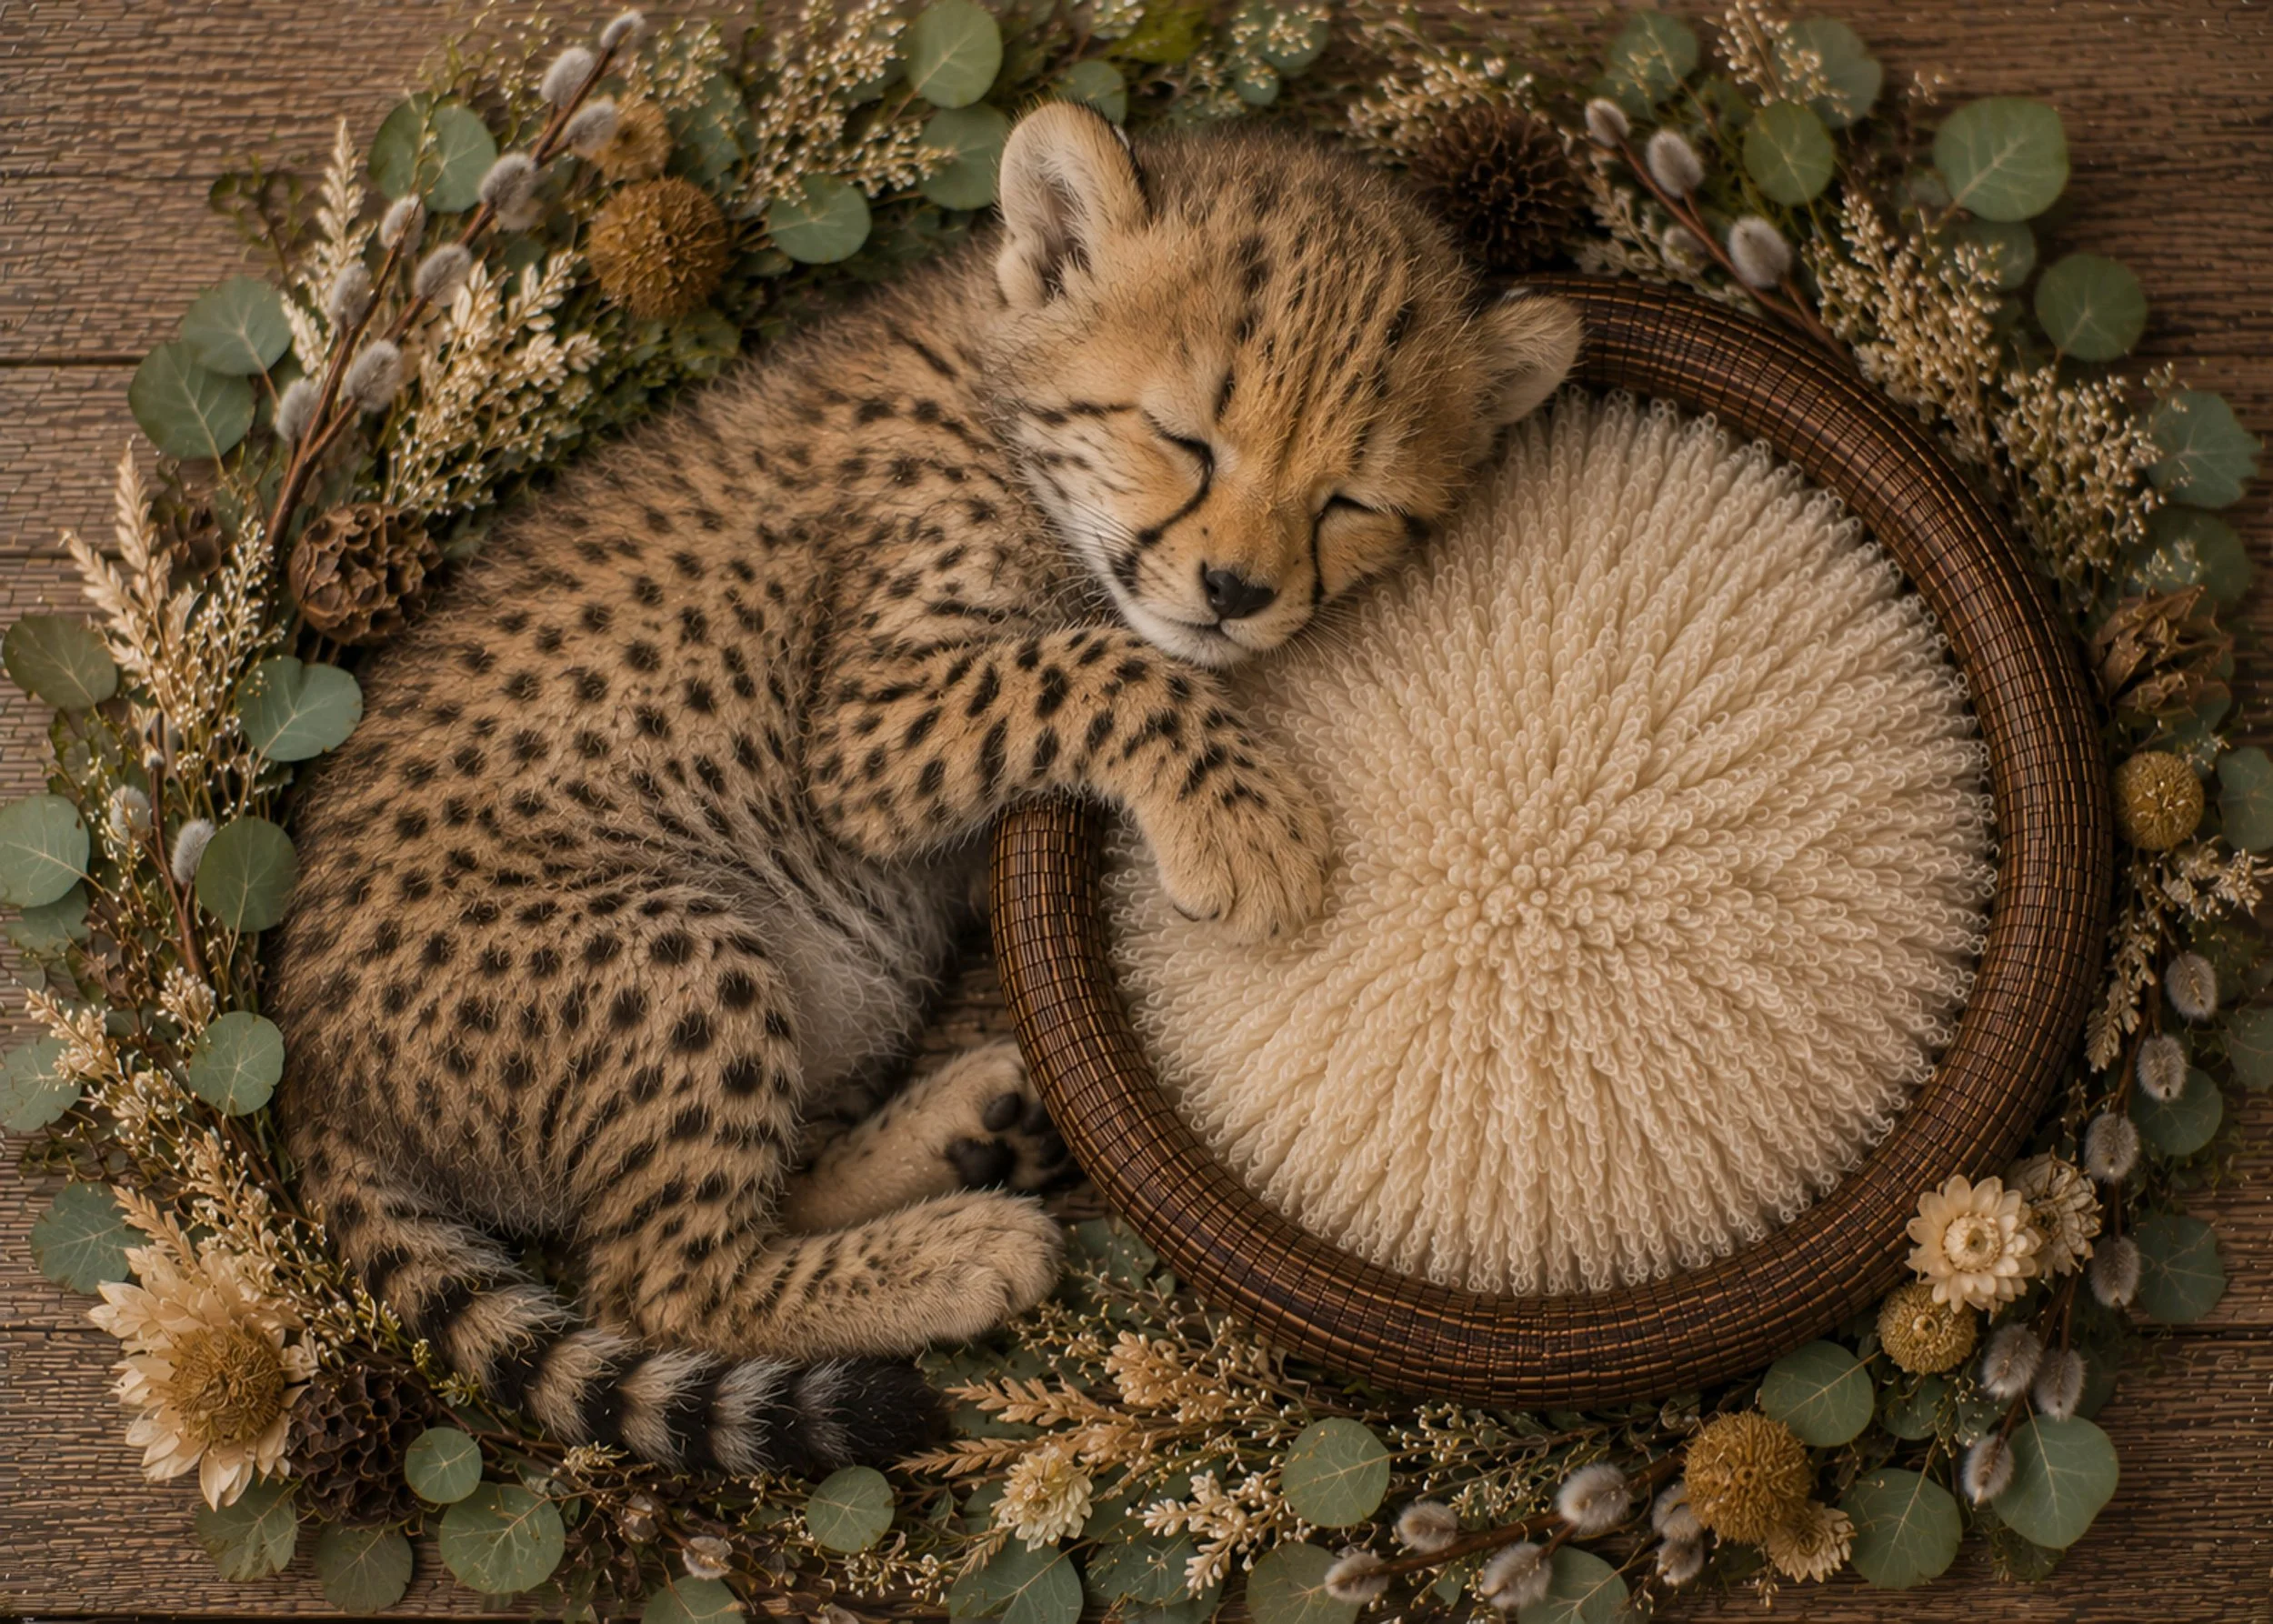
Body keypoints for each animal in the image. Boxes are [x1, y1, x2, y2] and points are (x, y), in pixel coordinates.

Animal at [265, 102, 1581, 1478]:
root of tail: (310, 1066)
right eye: (1184, 439)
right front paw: (1248, 826)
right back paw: (959, 1253)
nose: (1237, 592)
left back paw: (970, 1122)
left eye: (1350, 500)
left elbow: (1099, 654)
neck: (1004, 399)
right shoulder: (860, 736)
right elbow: (1098, 662)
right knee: (654, 1276)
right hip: (669, 949)